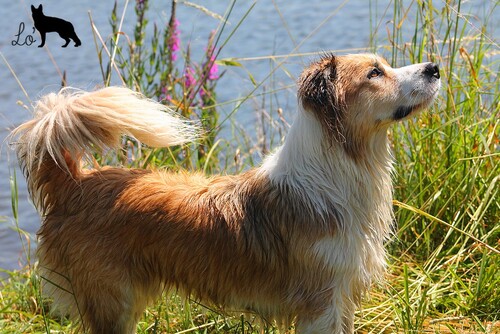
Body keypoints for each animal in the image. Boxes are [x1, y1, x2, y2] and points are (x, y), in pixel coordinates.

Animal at [13, 53, 440, 332]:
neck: (336, 170)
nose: (434, 68)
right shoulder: (321, 304)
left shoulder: (343, 295)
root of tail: (74, 183)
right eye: (375, 72)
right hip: (111, 302)